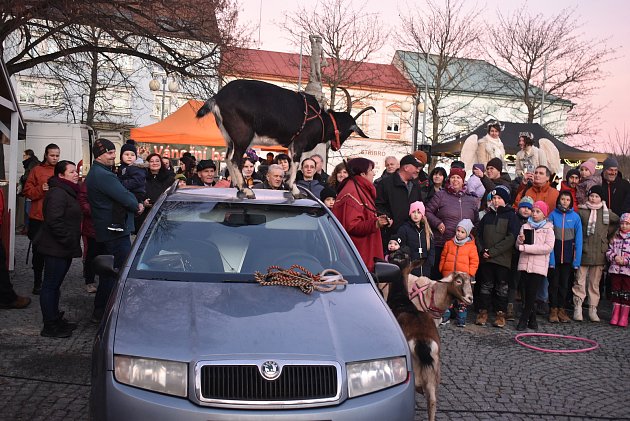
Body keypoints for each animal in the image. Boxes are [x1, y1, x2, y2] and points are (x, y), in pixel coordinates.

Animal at [198, 79, 376, 197]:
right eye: (349, 131)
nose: (335, 147)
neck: (320, 119)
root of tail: (217, 98)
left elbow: (291, 164)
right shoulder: (299, 143)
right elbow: (296, 163)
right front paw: (294, 189)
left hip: (229, 137)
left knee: (228, 157)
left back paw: (235, 186)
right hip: (243, 135)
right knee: (235, 159)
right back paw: (246, 189)